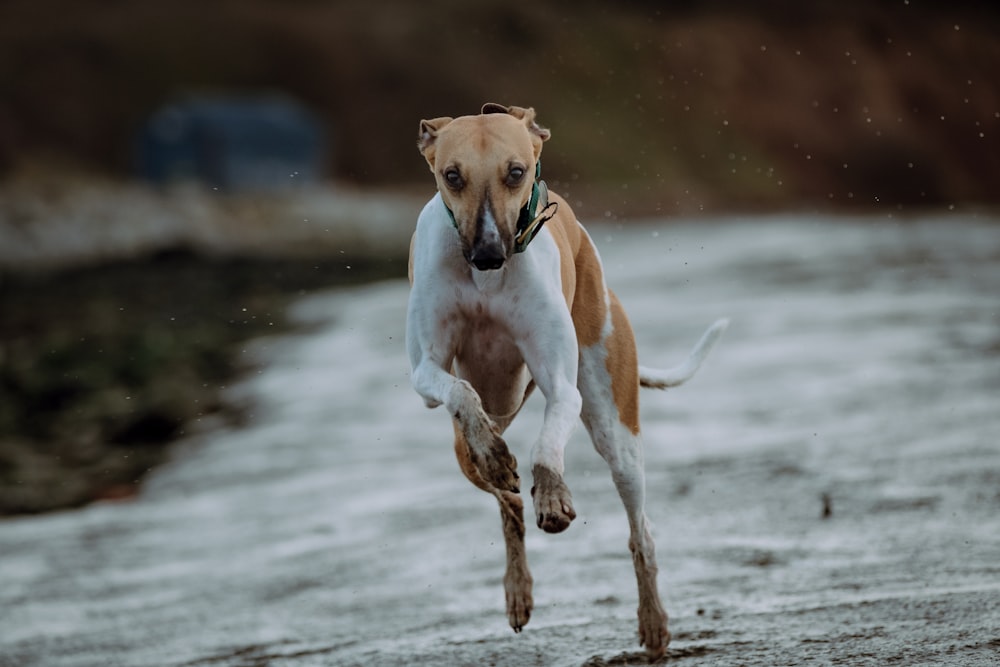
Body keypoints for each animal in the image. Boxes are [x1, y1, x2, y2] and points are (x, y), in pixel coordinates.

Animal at [406, 104, 728, 656]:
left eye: (515, 172)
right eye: (452, 176)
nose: (488, 254)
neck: (486, 281)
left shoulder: (562, 384)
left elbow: (547, 442)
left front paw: (554, 495)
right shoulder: (425, 372)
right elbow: (459, 393)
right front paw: (499, 458)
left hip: (617, 434)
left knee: (640, 532)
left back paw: (653, 621)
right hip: (464, 447)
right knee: (507, 500)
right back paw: (517, 582)